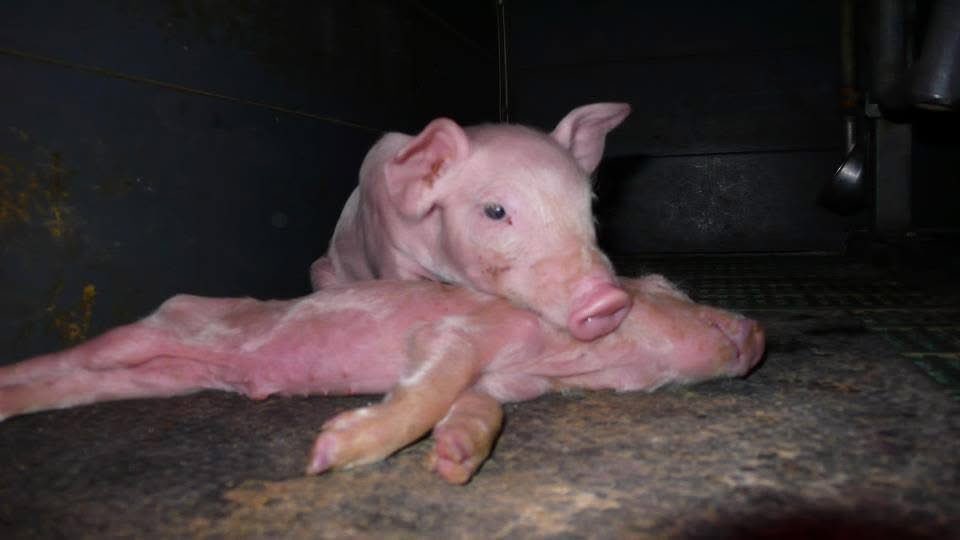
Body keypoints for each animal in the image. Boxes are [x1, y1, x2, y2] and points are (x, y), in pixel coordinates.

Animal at [0, 275, 764, 484]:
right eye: (672, 289)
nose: (760, 332)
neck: (556, 360)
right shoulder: (453, 333)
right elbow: (428, 387)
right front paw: (328, 455)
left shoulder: (504, 386)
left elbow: (477, 410)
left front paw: (454, 464)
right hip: (166, 327)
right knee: (74, 355)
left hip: (153, 378)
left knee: (75, 379)